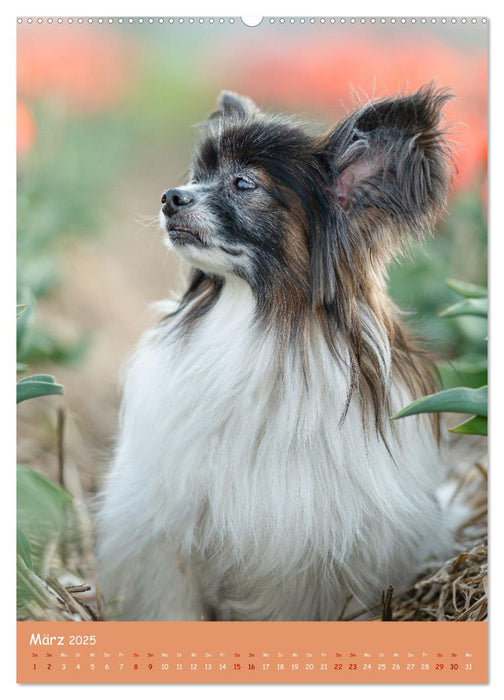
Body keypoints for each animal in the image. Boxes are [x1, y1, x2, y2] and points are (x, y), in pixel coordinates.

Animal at [97, 85, 456, 620]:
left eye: (243, 183)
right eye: (197, 177)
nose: (170, 196)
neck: (260, 318)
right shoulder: (166, 533)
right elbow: (171, 603)